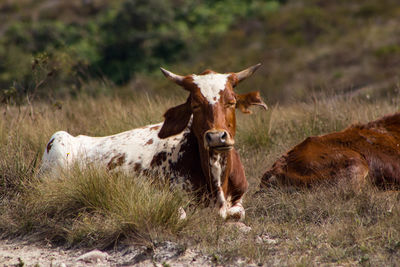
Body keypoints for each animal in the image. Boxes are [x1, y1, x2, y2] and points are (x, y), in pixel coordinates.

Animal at [41, 63, 266, 221]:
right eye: (195, 104)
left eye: (232, 102)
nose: (216, 137)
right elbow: (181, 215)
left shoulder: (239, 197)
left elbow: (238, 212)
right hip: (57, 142)